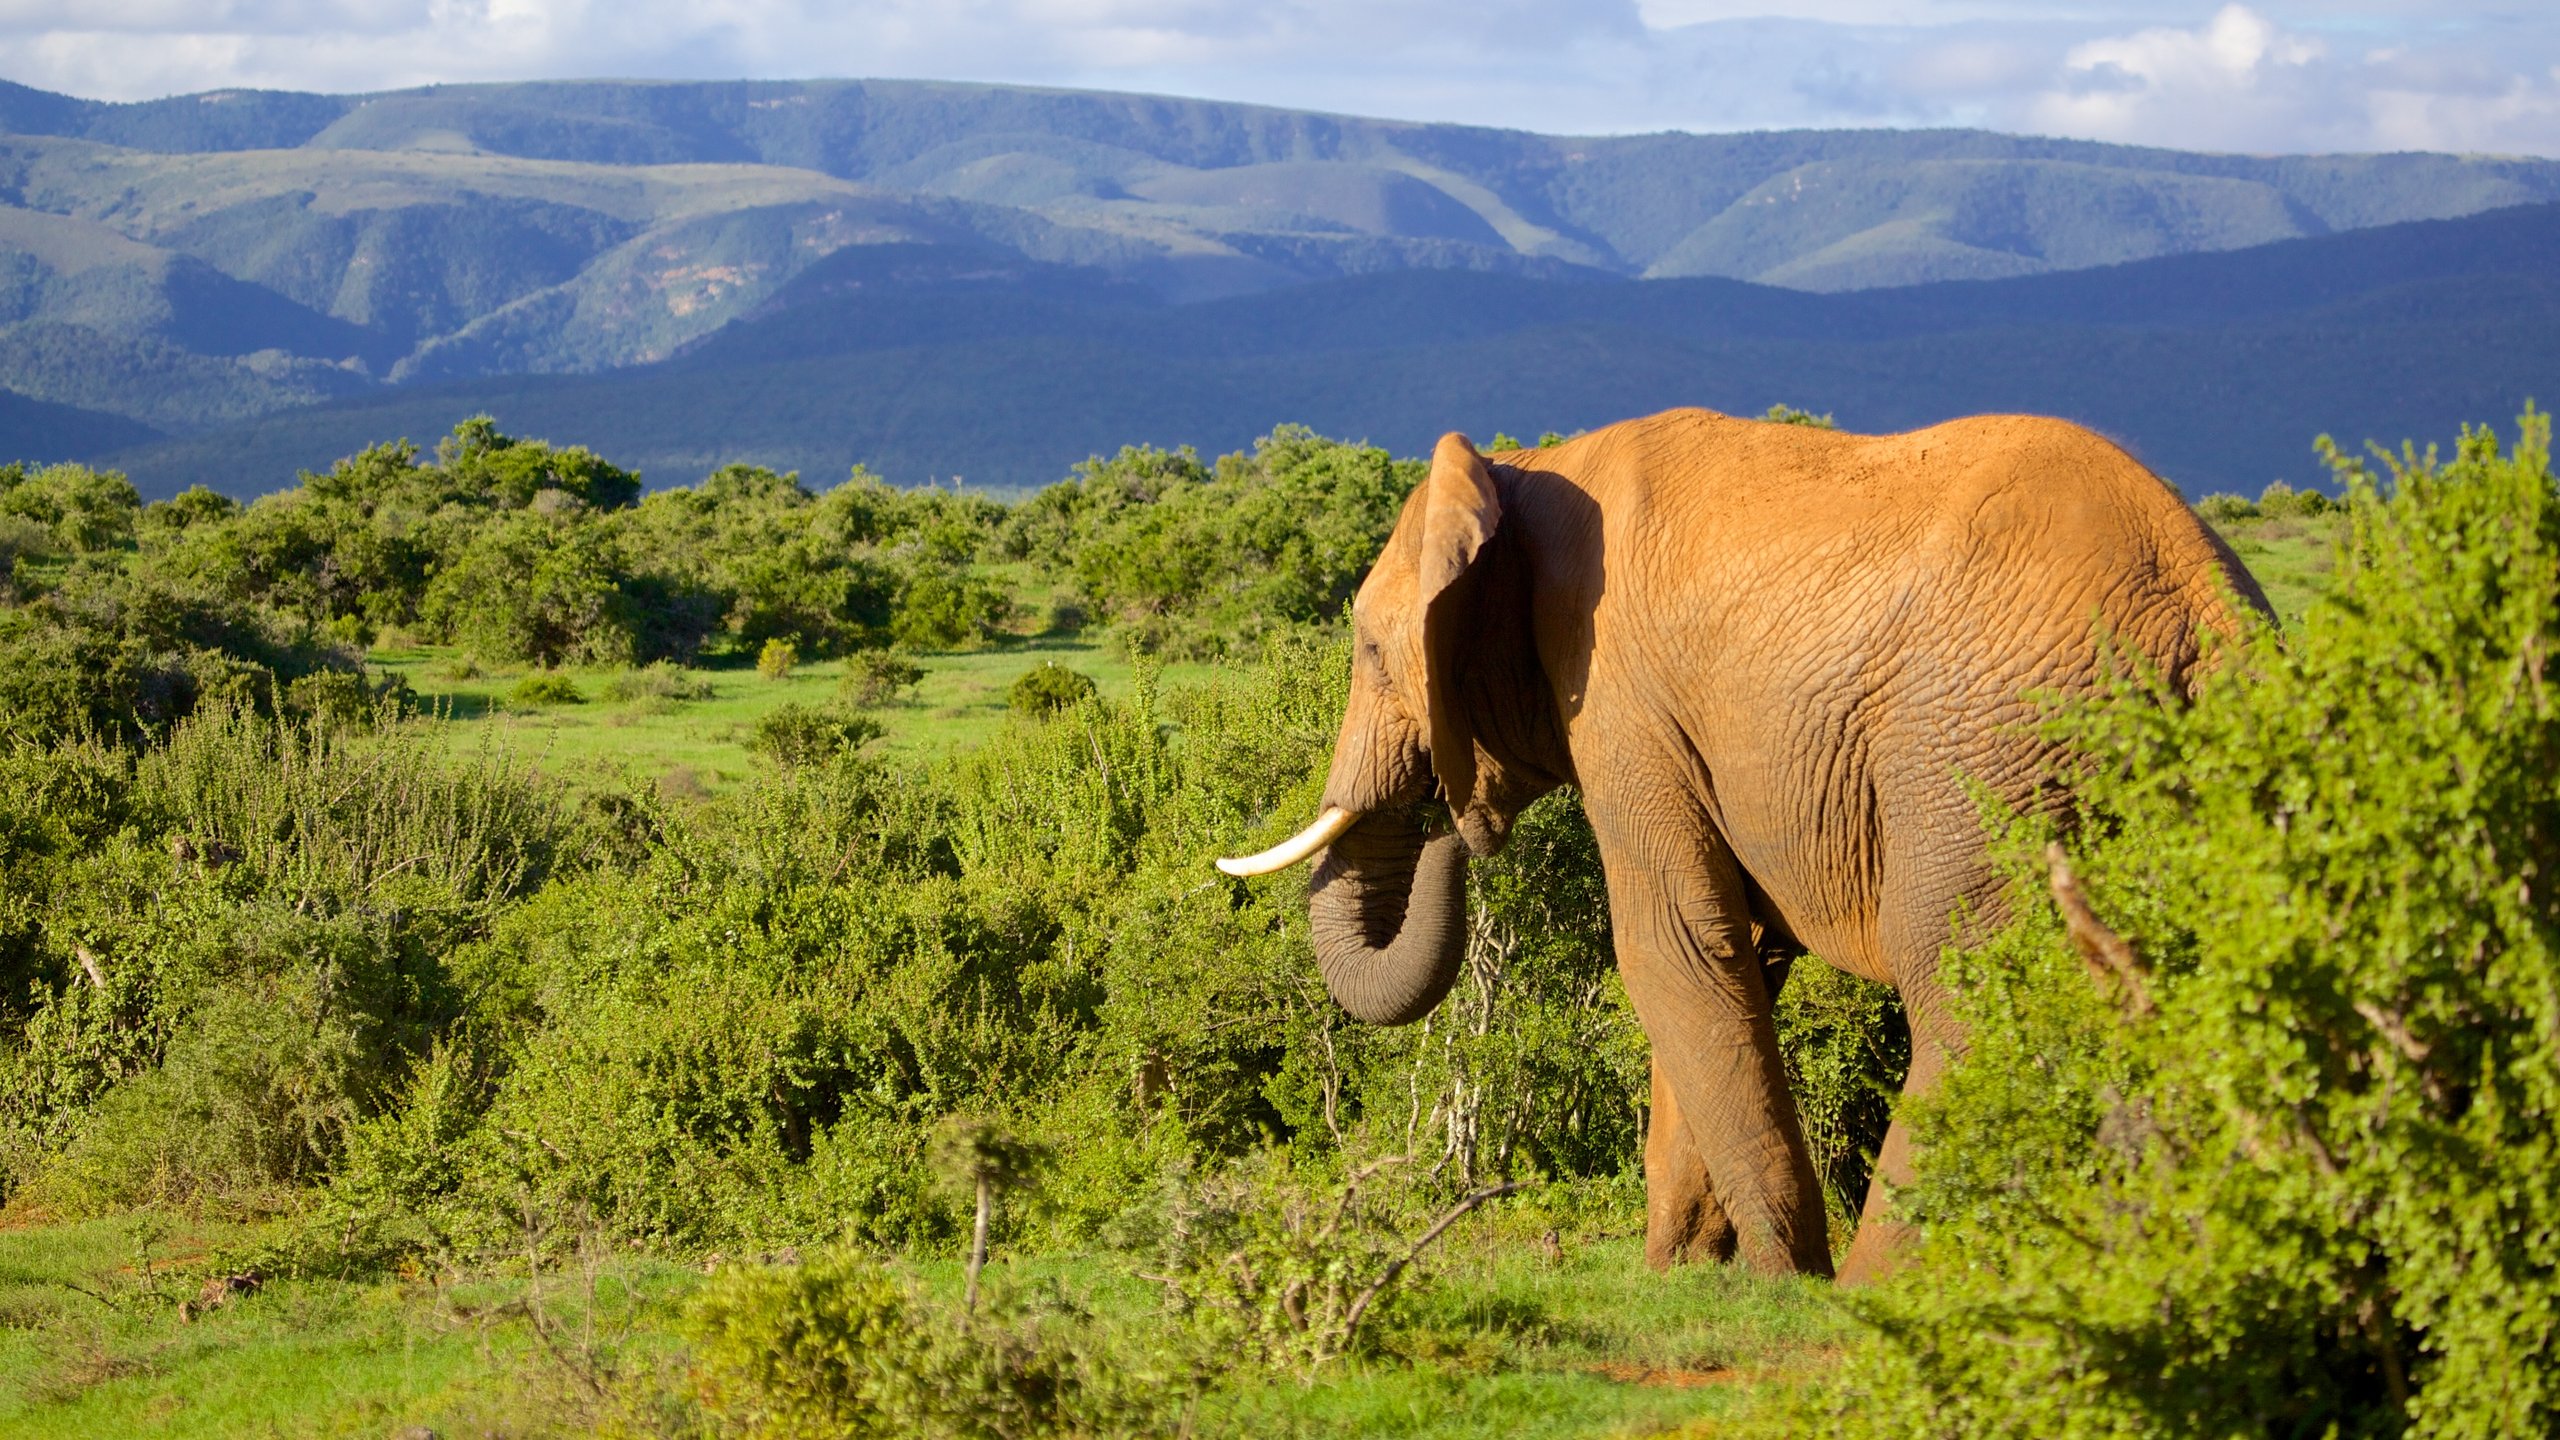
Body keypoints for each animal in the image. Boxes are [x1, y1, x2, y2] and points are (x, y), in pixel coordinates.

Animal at [1218, 404, 2263, 1276]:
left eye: (1368, 648)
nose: (1446, 821)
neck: (1525, 476)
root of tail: (2204, 608)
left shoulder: (1621, 699)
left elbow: (1669, 945)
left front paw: (1779, 1279)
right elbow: (1735, 956)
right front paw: (1688, 1272)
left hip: (1987, 747)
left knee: (1962, 982)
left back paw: (1878, 1290)